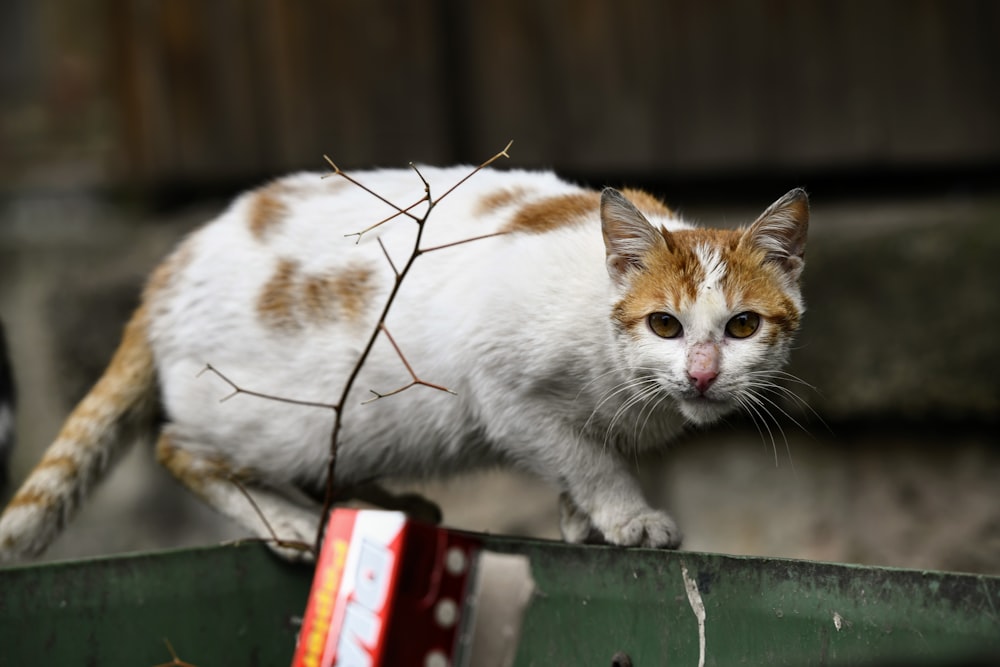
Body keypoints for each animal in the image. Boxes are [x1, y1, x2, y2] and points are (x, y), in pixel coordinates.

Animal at [0, 164, 808, 560]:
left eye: (741, 326)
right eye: (664, 324)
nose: (701, 372)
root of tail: (168, 271)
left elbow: (587, 453)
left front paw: (582, 519)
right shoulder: (501, 389)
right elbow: (582, 455)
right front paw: (626, 514)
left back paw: (377, 503)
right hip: (282, 418)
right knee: (180, 448)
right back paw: (293, 524)